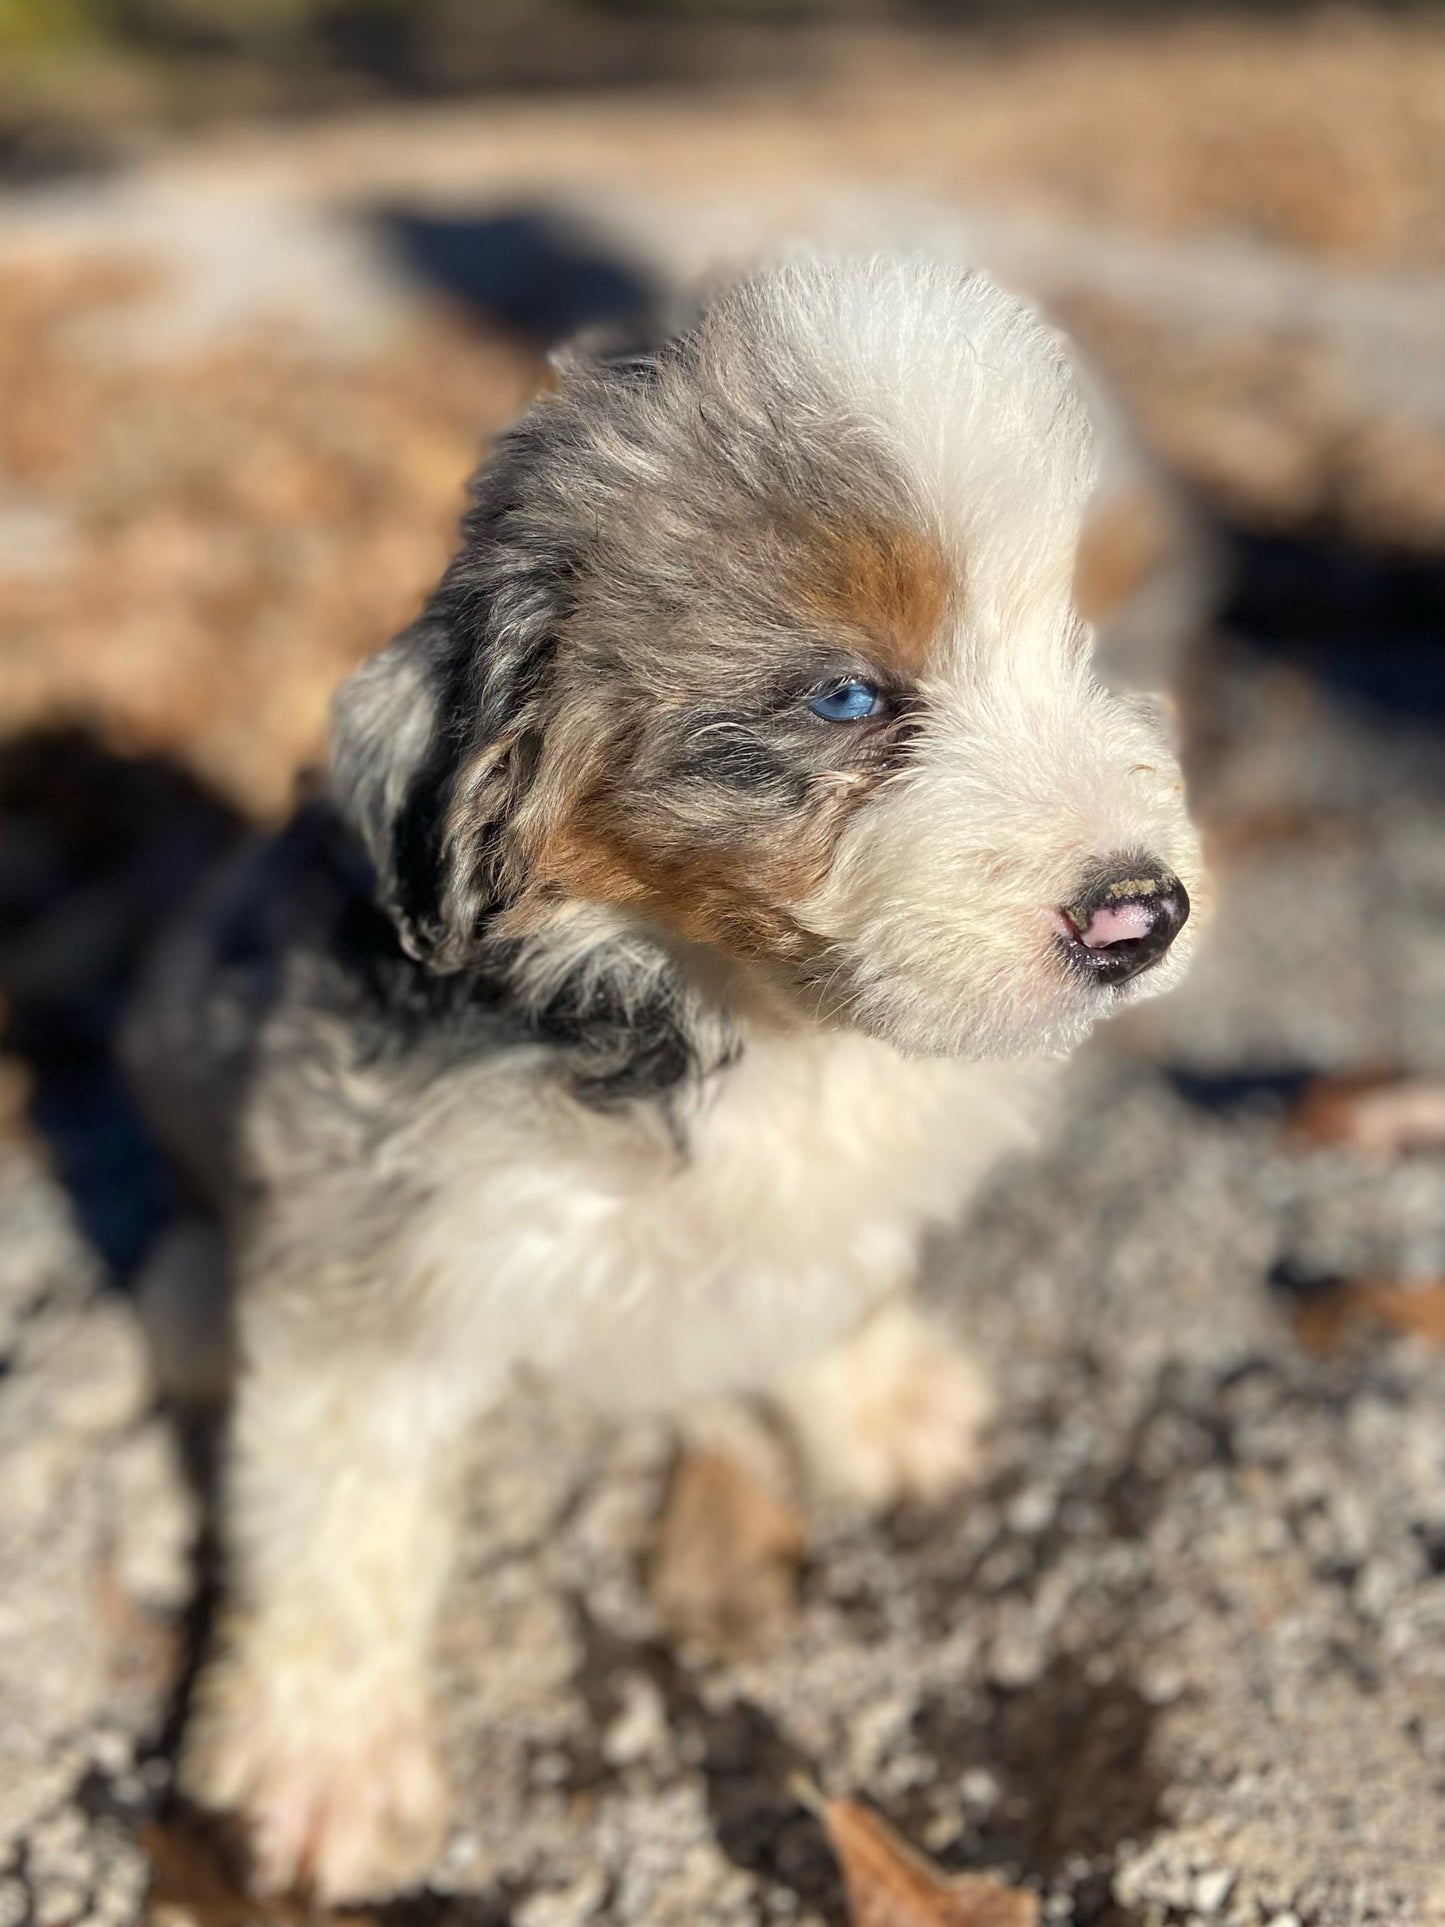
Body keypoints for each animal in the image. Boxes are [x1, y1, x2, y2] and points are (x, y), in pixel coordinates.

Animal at [124, 252, 1202, 1896]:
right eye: (843, 697)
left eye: (1070, 642)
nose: (1142, 914)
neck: (740, 1012)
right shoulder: (383, 1237)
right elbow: (343, 1494)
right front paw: (325, 1765)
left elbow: (841, 1275)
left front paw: (880, 1403)